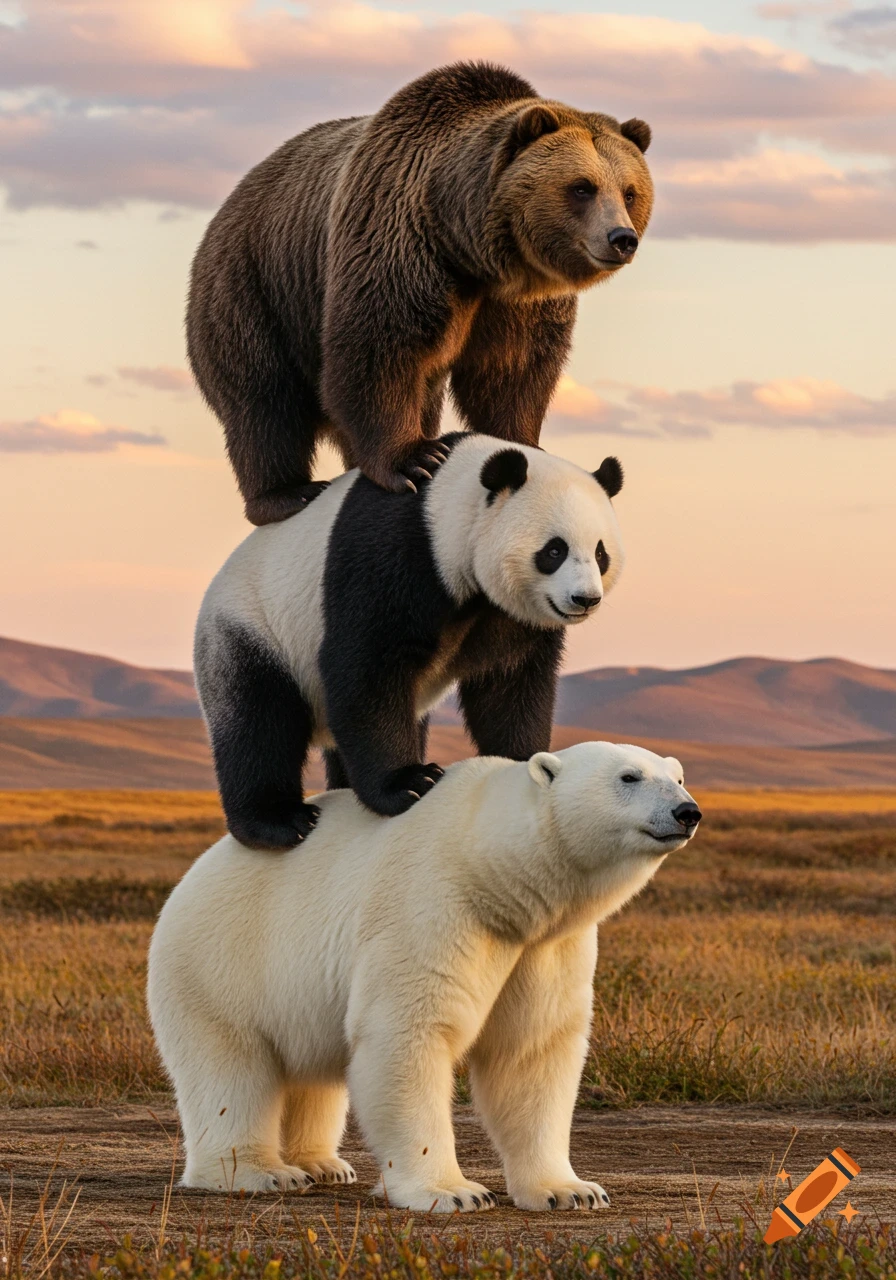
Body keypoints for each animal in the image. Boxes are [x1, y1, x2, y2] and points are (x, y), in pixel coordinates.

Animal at [147, 741, 702, 1209]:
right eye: (629, 776)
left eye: (677, 777)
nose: (688, 812)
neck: (489, 868)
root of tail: (187, 881)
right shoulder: (431, 904)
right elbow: (409, 1034)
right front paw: (453, 1192)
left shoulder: (545, 944)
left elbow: (531, 1051)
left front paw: (571, 1190)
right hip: (221, 964)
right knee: (230, 1071)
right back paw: (260, 1172)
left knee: (313, 1072)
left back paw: (324, 1164)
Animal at [186, 61, 653, 525]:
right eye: (582, 187)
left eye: (630, 192)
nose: (621, 238)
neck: (472, 249)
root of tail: (231, 203)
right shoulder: (400, 245)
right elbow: (380, 350)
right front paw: (416, 460)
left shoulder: (518, 300)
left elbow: (512, 369)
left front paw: (523, 443)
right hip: (255, 286)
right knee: (265, 399)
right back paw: (286, 493)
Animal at [194, 433, 625, 850]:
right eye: (554, 550)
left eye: (601, 553)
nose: (585, 599)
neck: (450, 502)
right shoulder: (395, 551)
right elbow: (368, 668)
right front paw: (409, 784)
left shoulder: (509, 614)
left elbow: (511, 681)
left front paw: (521, 760)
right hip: (251, 628)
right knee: (259, 721)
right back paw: (278, 823)